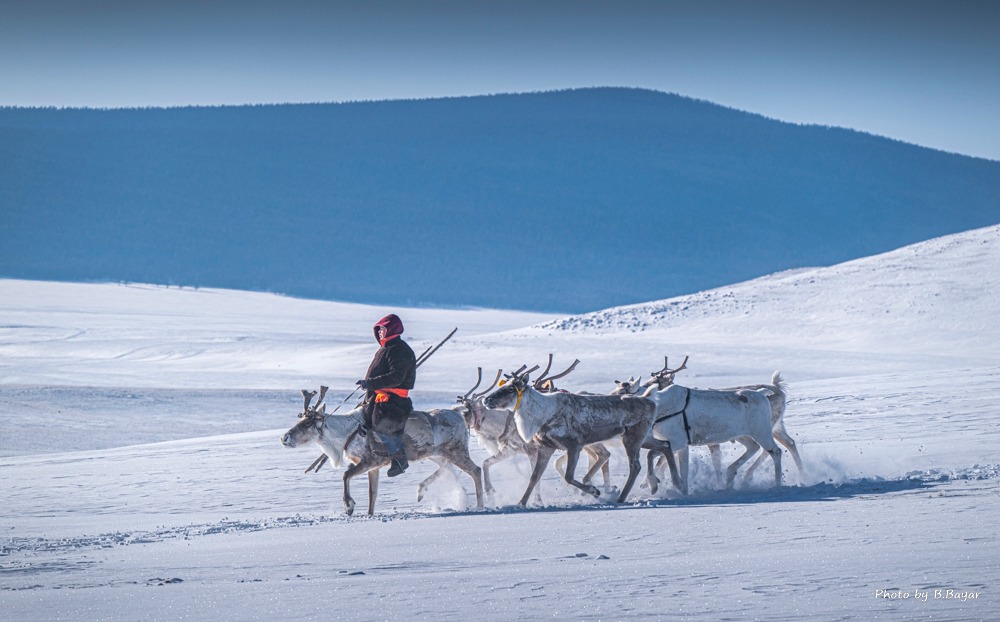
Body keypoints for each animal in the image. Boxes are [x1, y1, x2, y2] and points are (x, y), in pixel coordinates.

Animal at [281, 386, 484, 516]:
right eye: (300, 420)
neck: (344, 435)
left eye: (308, 423)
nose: (284, 438)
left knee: (476, 470)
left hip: (456, 450)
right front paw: (369, 514)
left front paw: (349, 507)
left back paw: (481, 504)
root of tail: (459, 412)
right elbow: (373, 494)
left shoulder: (370, 461)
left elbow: (345, 475)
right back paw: (427, 492)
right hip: (436, 454)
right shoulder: (373, 467)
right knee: (449, 469)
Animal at [482, 367, 655, 506]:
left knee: (635, 465)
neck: (542, 416)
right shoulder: (546, 447)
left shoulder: (574, 445)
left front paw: (594, 491)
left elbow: (568, 477)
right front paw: (521, 503)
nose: (486, 399)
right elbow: (534, 477)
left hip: (632, 437)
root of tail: (650, 402)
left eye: (511, 389)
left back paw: (620, 498)